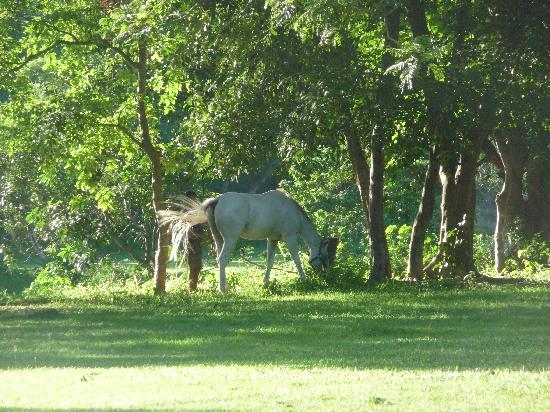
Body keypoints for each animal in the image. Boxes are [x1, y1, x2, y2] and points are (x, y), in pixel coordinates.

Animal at [160, 190, 338, 292]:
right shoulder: (290, 237)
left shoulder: (272, 239)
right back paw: (223, 289)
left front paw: (265, 282)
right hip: (230, 239)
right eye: (326, 254)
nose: (326, 273)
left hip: (219, 239)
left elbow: (269, 261)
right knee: (223, 259)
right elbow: (297, 260)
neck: (292, 210)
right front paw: (303, 279)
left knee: (219, 260)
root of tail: (217, 200)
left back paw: (223, 286)